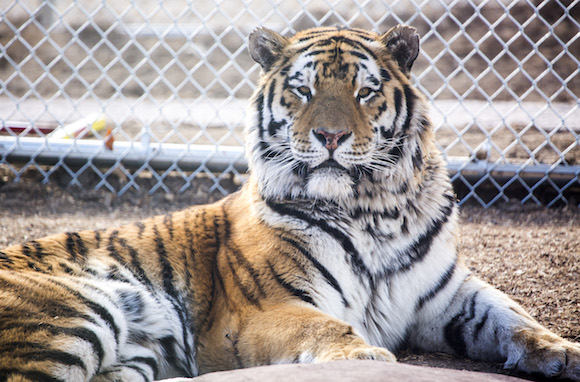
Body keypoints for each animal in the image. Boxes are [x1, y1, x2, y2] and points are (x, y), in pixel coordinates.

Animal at [1, 25, 580, 380]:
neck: (373, 209)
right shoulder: (263, 310)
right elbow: (322, 325)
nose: (330, 136)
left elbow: (514, 317)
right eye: (303, 91)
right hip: (75, 312)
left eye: (365, 91)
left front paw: (564, 352)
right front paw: (361, 354)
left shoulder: (450, 295)